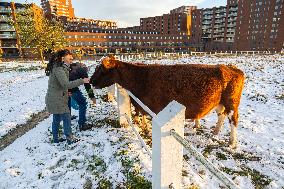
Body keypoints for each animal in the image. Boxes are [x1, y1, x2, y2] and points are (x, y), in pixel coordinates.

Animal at [90, 55, 244, 148]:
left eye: (102, 70)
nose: (91, 81)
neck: (140, 78)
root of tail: (231, 68)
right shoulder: (141, 104)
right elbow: (141, 114)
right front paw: (144, 127)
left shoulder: (154, 108)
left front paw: (147, 130)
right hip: (220, 103)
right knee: (221, 115)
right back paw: (215, 132)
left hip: (232, 103)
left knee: (233, 120)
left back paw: (232, 142)